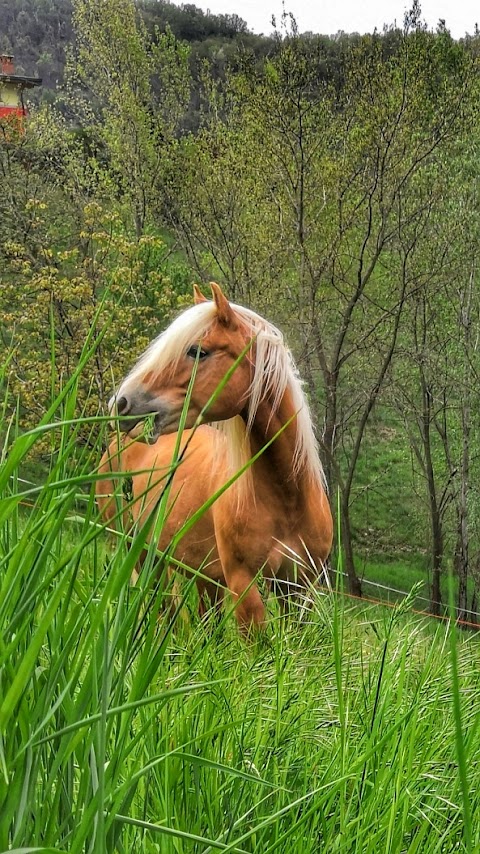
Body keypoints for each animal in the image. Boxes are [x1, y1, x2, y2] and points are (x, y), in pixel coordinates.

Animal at [95, 284, 332, 632]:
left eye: (198, 352)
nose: (122, 403)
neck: (288, 496)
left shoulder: (299, 588)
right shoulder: (243, 584)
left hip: (204, 576)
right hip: (141, 554)